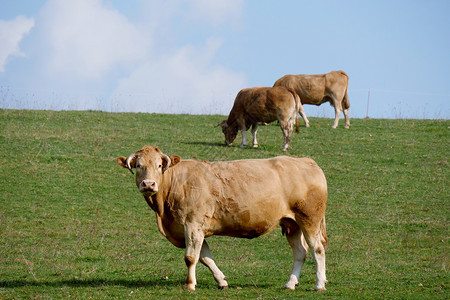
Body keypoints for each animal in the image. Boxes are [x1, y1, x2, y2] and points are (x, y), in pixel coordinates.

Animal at [116, 146, 326, 292]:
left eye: (159, 166)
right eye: (138, 166)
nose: (148, 184)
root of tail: (307, 161)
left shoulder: (192, 225)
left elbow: (190, 257)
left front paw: (190, 285)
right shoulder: (193, 229)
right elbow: (205, 257)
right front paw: (221, 281)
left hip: (310, 219)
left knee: (317, 249)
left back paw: (319, 284)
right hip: (292, 223)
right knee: (300, 252)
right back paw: (290, 283)